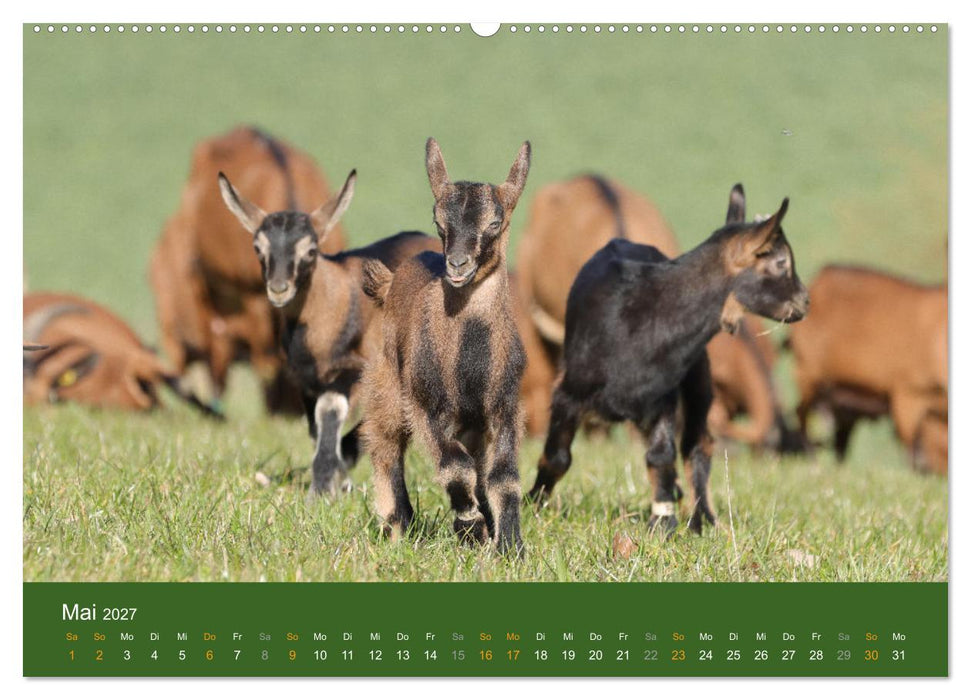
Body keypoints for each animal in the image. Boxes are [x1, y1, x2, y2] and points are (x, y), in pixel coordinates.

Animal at [219, 170, 439, 494]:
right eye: (258, 248)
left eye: (310, 250)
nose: (279, 289)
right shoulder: (306, 382)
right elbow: (315, 427)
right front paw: (332, 479)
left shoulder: (353, 370)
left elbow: (330, 410)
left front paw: (323, 486)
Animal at [360, 138, 530, 555]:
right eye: (439, 223)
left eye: (494, 223)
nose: (457, 265)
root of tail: (390, 282)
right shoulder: (428, 405)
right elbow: (455, 467)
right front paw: (471, 528)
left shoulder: (504, 406)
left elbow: (503, 476)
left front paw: (510, 546)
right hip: (388, 385)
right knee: (385, 444)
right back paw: (397, 523)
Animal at [529, 197, 808, 535]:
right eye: (781, 263)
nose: (805, 301)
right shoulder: (568, 393)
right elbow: (557, 456)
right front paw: (533, 503)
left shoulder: (663, 395)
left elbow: (661, 455)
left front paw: (663, 520)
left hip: (698, 379)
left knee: (697, 444)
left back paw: (703, 518)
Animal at [789, 265, 947, 474]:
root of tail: (821, 277)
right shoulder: (906, 395)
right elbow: (910, 447)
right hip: (809, 376)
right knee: (801, 414)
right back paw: (813, 460)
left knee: (839, 440)